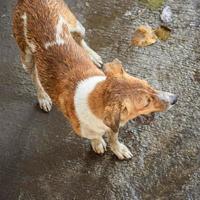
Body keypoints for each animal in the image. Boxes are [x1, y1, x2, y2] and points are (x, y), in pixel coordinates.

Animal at [12, 0, 178, 159]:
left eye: (148, 84)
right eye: (146, 103)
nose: (175, 99)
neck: (94, 98)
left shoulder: (114, 123)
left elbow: (114, 137)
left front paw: (117, 149)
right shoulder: (87, 129)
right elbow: (96, 136)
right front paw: (98, 143)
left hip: (77, 26)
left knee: (79, 39)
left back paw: (92, 55)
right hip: (26, 57)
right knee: (35, 76)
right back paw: (43, 97)